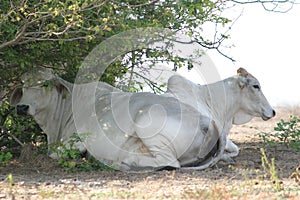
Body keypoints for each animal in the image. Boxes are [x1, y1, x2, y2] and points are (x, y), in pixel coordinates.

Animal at [10, 67, 276, 170]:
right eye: (23, 84)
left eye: (45, 84)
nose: (21, 107)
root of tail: (207, 122)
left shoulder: (76, 140)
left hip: (147, 127)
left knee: (169, 163)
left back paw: (123, 161)